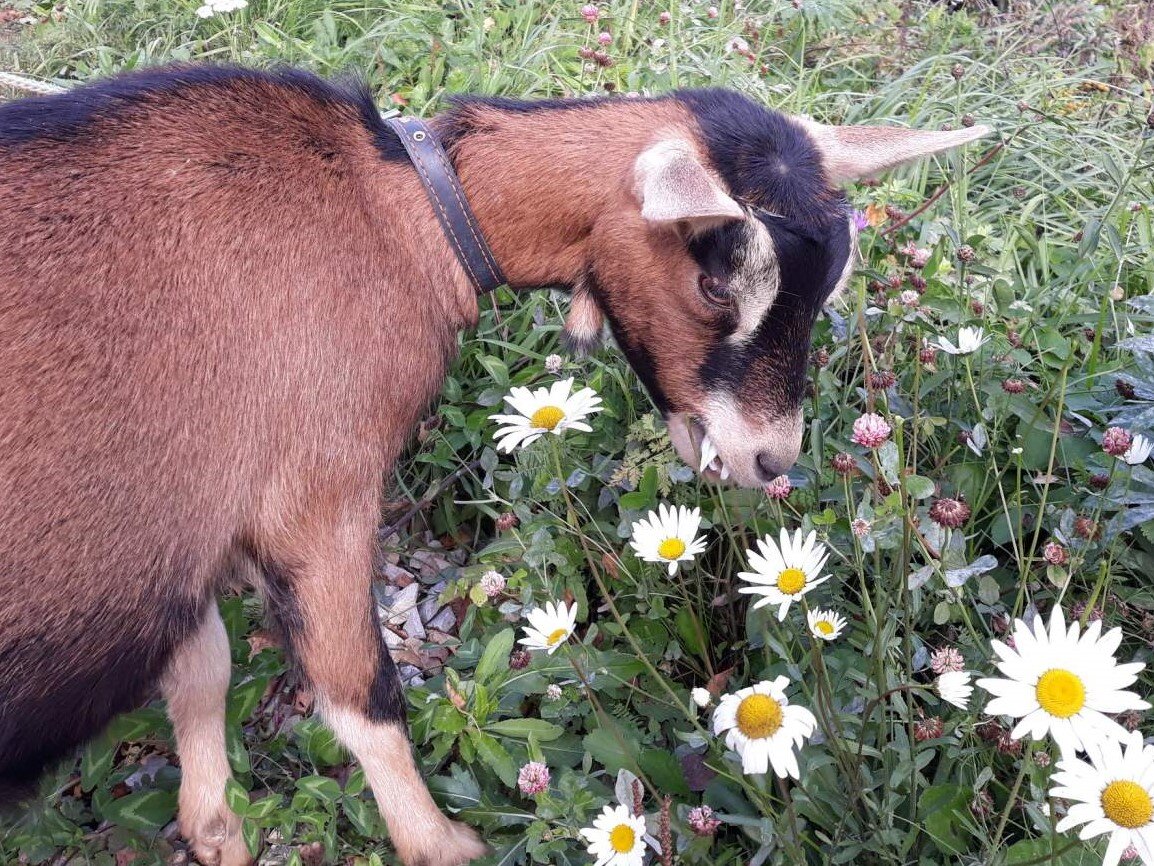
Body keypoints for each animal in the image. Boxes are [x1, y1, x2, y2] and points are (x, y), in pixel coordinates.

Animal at [2, 67, 992, 866]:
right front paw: (441, 844)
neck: (401, 212)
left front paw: (216, 830)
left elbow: (201, 664)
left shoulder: (188, 534)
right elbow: (359, 690)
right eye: (716, 280)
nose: (770, 457)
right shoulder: (319, 491)